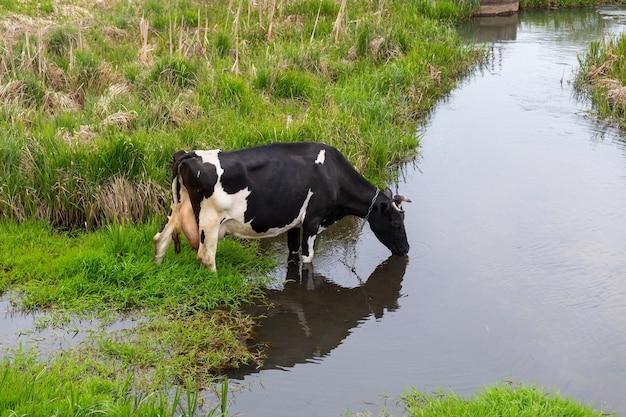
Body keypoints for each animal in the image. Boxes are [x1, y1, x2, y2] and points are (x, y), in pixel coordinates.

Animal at [152, 142, 410, 272]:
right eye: (396, 222)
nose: (406, 248)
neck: (333, 174)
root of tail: (189, 154)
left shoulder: (295, 222)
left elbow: (293, 252)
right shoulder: (313, 219)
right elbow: (308, 257)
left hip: (175, 208)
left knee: (160, 239)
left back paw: (158, 269)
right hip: (210, 221)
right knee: (206, 256)